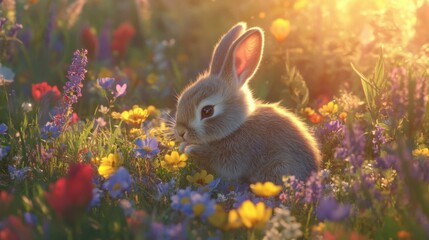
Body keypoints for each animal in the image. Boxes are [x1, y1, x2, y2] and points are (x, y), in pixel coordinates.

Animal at [175, 23, 320, 184]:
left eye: (207, 111)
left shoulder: (236, 153)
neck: (237, 127)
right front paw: (183, 146)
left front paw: (189, 149)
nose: (180, 132)